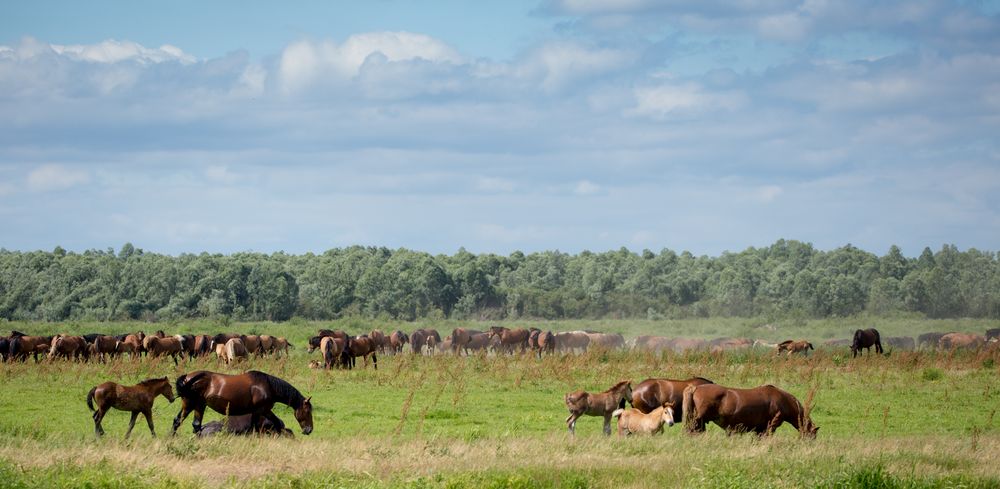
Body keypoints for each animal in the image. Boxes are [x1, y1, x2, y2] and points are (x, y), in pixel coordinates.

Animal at [170, 370, 312, 434]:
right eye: (307, 411)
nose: (309, 430)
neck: (267, 386)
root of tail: (187, 377)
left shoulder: (258, 411)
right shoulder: (263, 410)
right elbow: (270, 425)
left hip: (196, 405)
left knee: (188, 423)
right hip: (192, 404)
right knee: (186, 423)